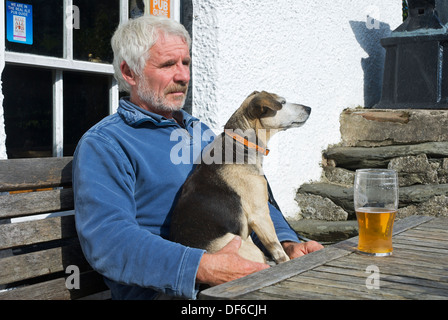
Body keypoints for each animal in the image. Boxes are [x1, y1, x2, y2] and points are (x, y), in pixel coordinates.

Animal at [169, 90, 312, 264]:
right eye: (282, 102)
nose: (309, 108)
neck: (242, 143)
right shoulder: (260, 215)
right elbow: (279, 250)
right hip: (249, 248)